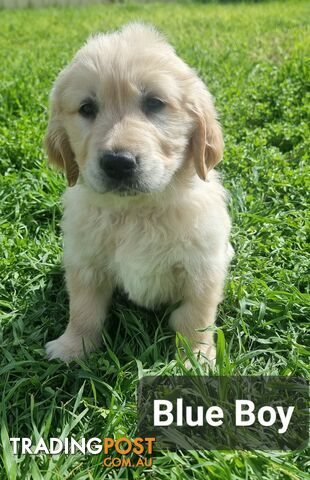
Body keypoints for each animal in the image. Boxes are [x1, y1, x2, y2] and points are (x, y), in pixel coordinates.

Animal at [43, 21, 232, 360]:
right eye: (87, 108)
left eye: (154, 103)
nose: (118, 163)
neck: (137, 210)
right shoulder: (85, 262)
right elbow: (83, 309)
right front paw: (72, 347)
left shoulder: (202, 269)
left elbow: (195, 317)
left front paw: (196, 359)